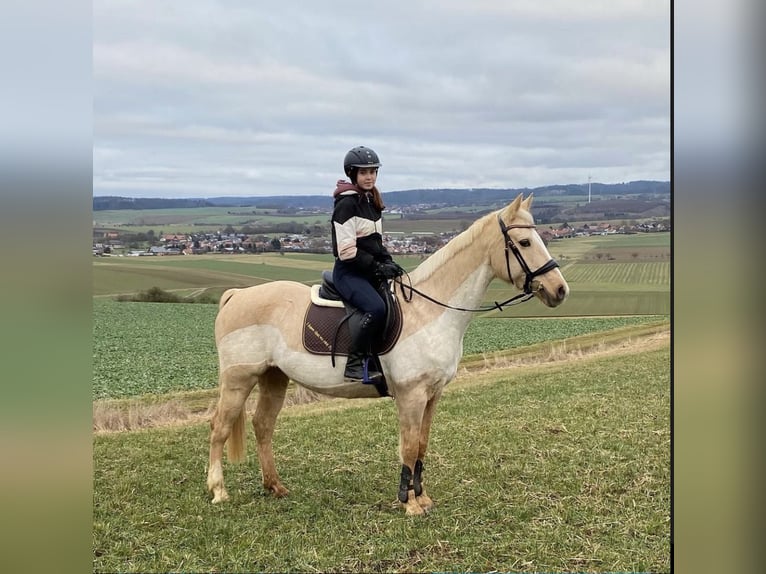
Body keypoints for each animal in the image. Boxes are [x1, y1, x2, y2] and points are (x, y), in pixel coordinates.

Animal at [208, 194, 568, 516]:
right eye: (524, 242)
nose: (560, 289)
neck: (429, 311)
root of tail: (236, 296)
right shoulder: (411, 395)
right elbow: (408, 446)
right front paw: (408, 504)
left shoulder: (432, 394)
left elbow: (421, 444)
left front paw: (422, 498)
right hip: (239, 379)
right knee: (220, 427)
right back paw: (219, 491)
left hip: (273, 377)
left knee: (262, 425)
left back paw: (275, 486)